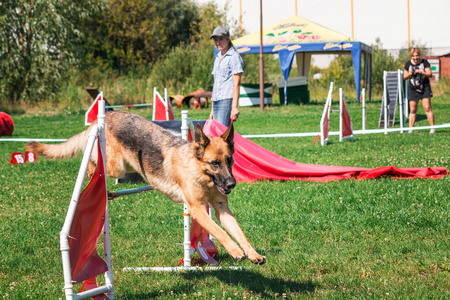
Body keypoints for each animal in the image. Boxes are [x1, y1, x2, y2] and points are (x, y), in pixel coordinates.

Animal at [26, 110, 266, 264]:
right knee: (93, 159)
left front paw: (252, 254)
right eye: (215, 163)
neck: (200, 172)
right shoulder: (197, 210)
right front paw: (235, 251)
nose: (232, 184)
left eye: (230, 160)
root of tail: (106, 116)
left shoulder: (222, 209)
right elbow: (221, 233)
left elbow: (239, 233)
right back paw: (92, 170)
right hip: (115, 167)